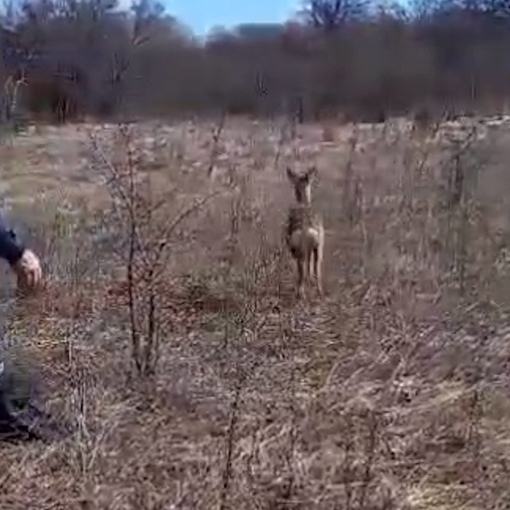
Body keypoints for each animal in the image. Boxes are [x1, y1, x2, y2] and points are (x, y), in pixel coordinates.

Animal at [284, 165, 324, 298]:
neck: (303, 204)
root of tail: (306, 230)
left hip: (301, 249)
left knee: (302, 268)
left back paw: (300, 292)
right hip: (317, 247)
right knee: (315, 267)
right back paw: (318, 291)